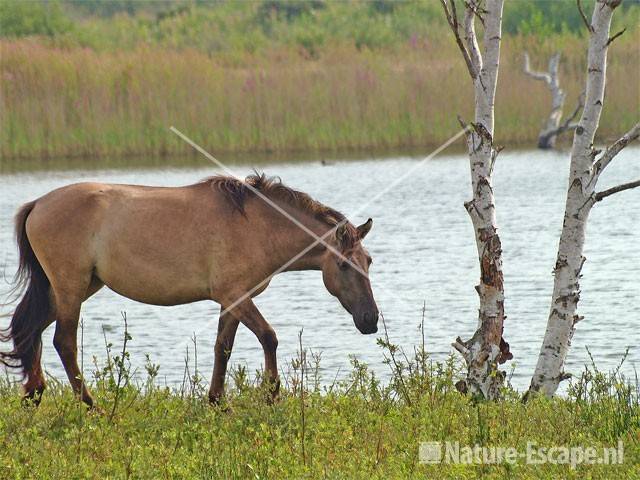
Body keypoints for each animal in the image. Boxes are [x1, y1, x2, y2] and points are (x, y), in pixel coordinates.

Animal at [1, 172, 380, 404]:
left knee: (30, 330)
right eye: (344, 265)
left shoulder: (231, 301)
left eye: (369, 261)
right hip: (70, 288)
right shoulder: (237, 295)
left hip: (72, 287)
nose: (371, 320)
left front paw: (217, 402)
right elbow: (269, 338)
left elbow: (222, 348)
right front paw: (272, 395)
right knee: (63, 342)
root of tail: (37, 204)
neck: (256, 225)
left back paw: (34, 395)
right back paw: (91, 405)